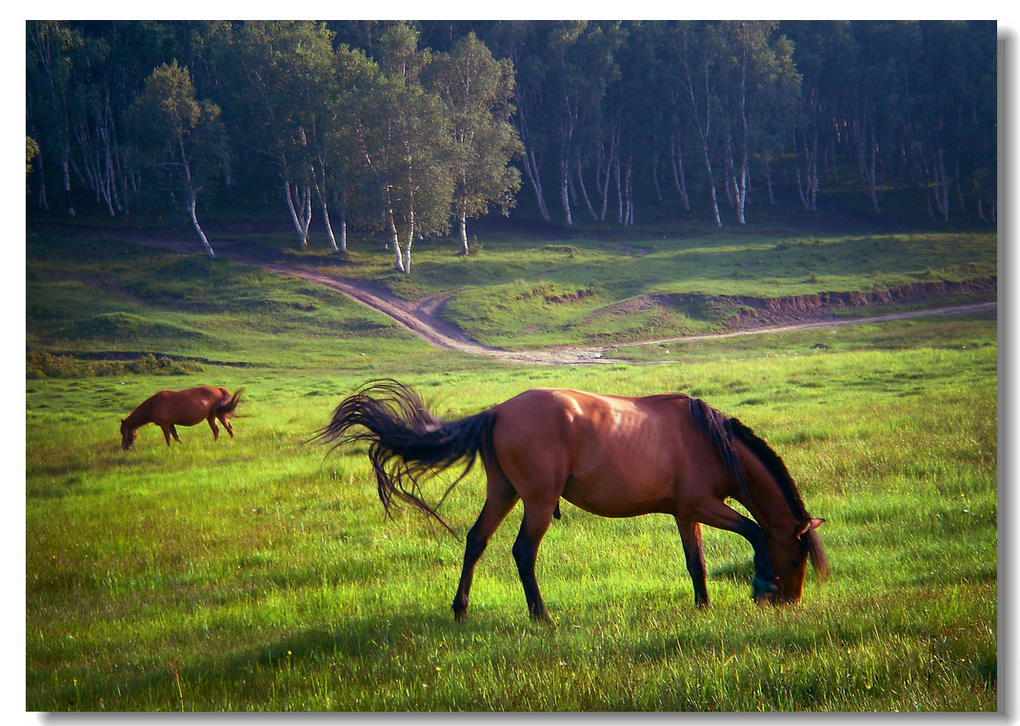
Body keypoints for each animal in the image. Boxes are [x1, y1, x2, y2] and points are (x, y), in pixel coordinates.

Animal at [318, 377, 828, 619]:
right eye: (798, 556)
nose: (791, 602)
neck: (710, 440)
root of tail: (497, 411)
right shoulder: (704, 507)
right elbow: (756, 532)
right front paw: (760, 584)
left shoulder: (687, 513)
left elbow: (696, 562)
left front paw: (703, 607)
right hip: (539, 503)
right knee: (523, 552)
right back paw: (540, 615)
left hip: (503, 493)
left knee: (476, 541)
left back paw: (461, 609)